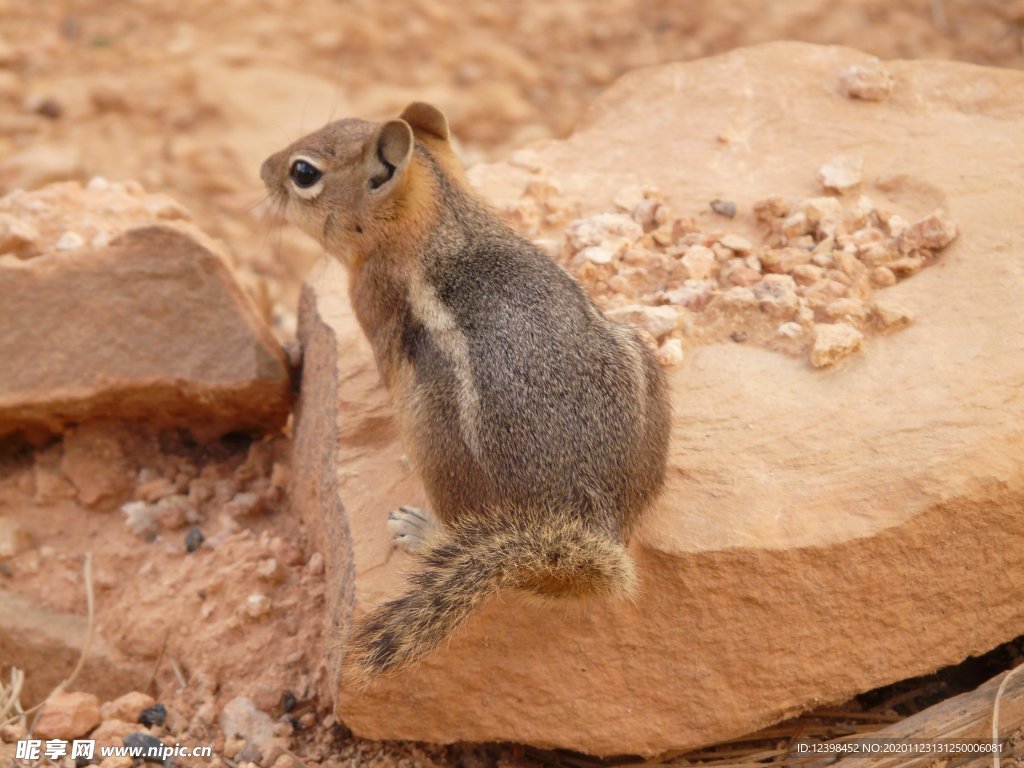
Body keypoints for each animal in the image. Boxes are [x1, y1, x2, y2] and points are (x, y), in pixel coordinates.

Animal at [262, 103, 671, 684]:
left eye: (302, 172)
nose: (262, 169)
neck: (445, 216)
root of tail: (591, 524)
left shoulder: (374, 312)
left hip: (433, 437)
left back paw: (418, 528)